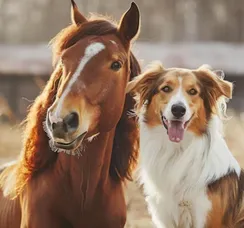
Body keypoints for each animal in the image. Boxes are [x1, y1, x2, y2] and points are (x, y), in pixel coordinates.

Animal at [127, 62, 243, 228]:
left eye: (193, 91)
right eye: (166, 88)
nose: (178, 109)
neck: (177, 150)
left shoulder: (206, 217)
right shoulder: (165, 216)